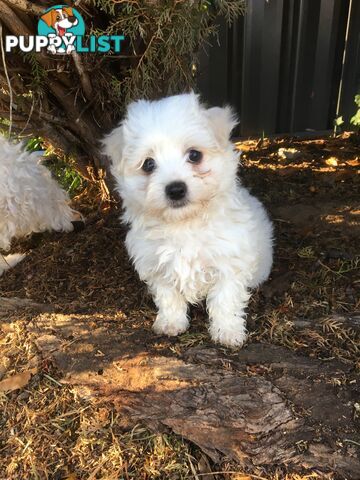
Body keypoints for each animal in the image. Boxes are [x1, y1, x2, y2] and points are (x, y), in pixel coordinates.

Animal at [104, 92, 272, 346]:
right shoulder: (157, 265)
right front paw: (171, 323)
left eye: (194, 155)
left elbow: (225, 299)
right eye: (148, 164)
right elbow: (169, 297)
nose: (175, 189)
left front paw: (228, 331)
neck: (184, 223)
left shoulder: (228, 262)